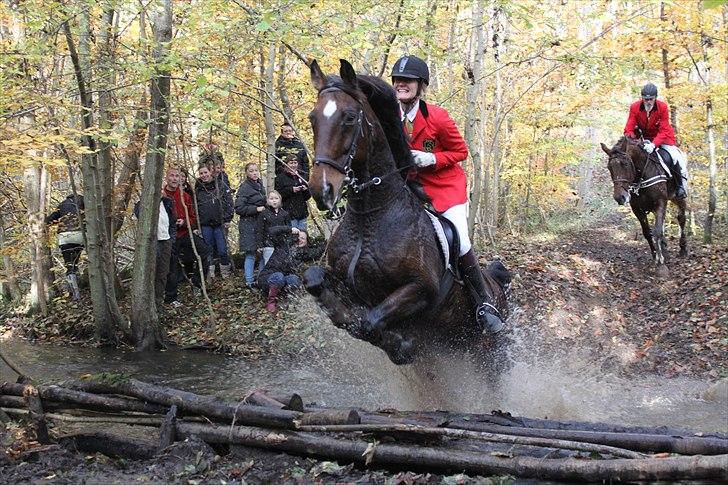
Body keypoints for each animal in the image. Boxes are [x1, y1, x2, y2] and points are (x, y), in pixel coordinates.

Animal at [300, 59, 506, 364]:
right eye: (313, 118)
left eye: (349, 118)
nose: (321, 190)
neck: (369, 217)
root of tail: (496, 284)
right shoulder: (347, 283)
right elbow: (315, 281)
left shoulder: (422, 289)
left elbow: (370, 323)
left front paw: (400, 345)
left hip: (490, 352)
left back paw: (489, 315)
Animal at [600, 136, 684, 264]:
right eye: (609, 167)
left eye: (625, 164)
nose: (619, 197)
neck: (641, 176)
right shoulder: (637, 209)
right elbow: (647, 233)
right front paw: (656, 255)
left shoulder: (660, 202)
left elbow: (657, 232)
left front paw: (661, 264)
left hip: (677, 197)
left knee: (682, 218)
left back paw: (684, 249)